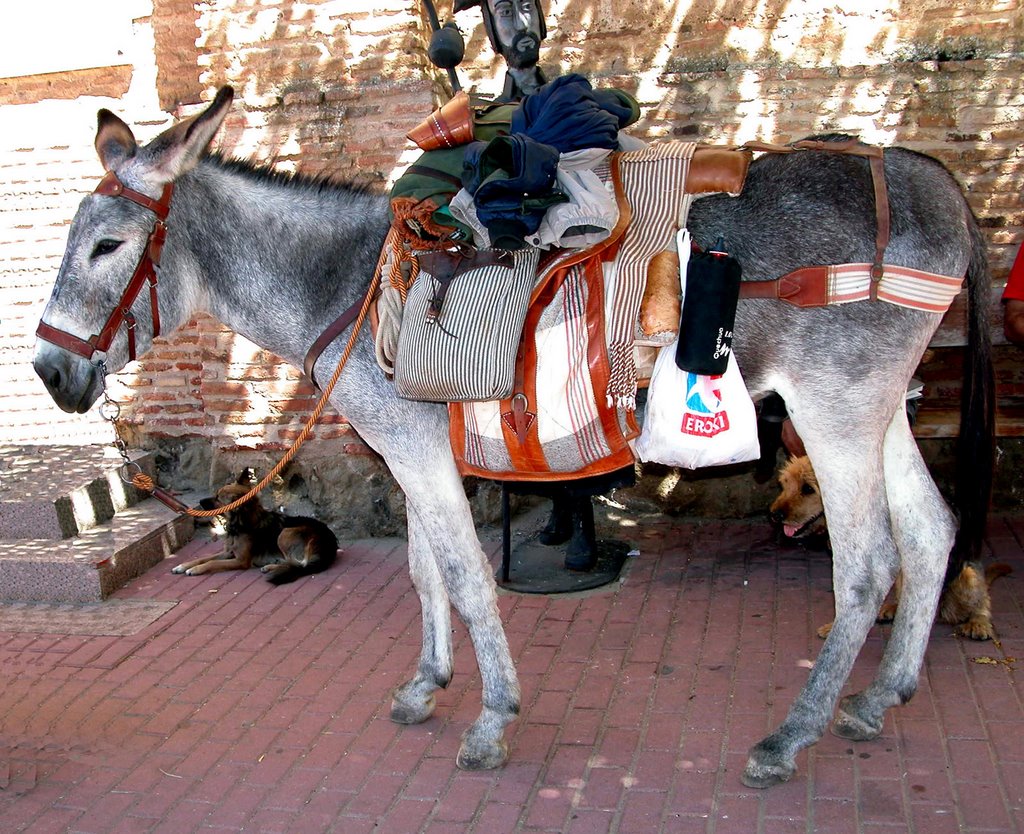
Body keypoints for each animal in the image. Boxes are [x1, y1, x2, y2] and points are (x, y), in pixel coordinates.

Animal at [173, 471, 339, 586]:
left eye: (218, 499)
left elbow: (212, 563)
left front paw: (195, 570)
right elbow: (203, 558)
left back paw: (271, 566)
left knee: (299, 564)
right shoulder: (228, 553)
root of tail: (330, 544)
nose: (199, 502)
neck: (240, 525)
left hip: (285, 533)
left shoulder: (241, 560)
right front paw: (182, 566)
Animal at [770, 456, 1007, 639]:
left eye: (808, 488)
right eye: (785, 483)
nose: (774, 515)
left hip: (967, 576)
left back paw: (979, 623)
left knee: (982, 600)